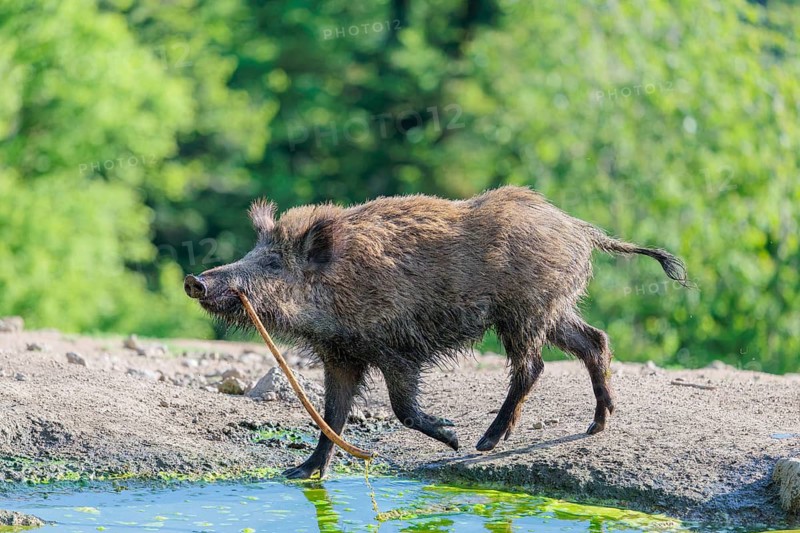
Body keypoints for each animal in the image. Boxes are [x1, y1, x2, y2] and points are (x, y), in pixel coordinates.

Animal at [184, 186, 687, 479]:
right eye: (253, 252)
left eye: (272, 262)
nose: (196, 281)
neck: (337, 289)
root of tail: (580, 228)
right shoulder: (341, 356)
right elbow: (331, 415)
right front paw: (300, 473)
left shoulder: (396, 349)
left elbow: (402, 410)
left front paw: (452, 437)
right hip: (554, 309)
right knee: (595, 341)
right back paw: (596, 425)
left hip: (523, 312)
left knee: (533, 366)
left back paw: (484, 443)